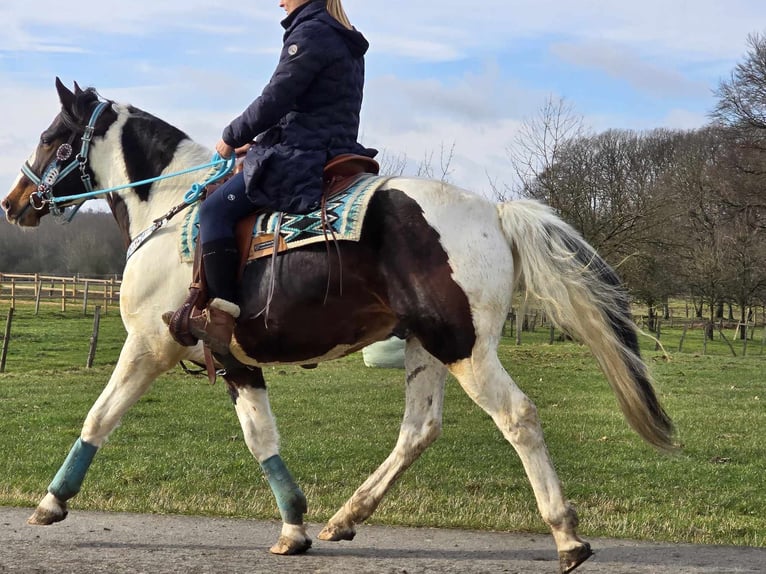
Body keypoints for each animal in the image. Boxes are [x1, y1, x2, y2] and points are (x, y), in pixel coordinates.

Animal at [0, 81, 676, 574]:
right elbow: (262, 439)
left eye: (53, 136)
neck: (171, 207)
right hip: (426, 347)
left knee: (518, 417)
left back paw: (567, 537)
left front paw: (50, 502)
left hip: (464, 347)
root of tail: (495, 211)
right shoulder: (237, 362)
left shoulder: (148, 346)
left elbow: (99, 417)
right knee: (419, 430)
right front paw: (294, 525)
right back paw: (347, 516)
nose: (14, 203)